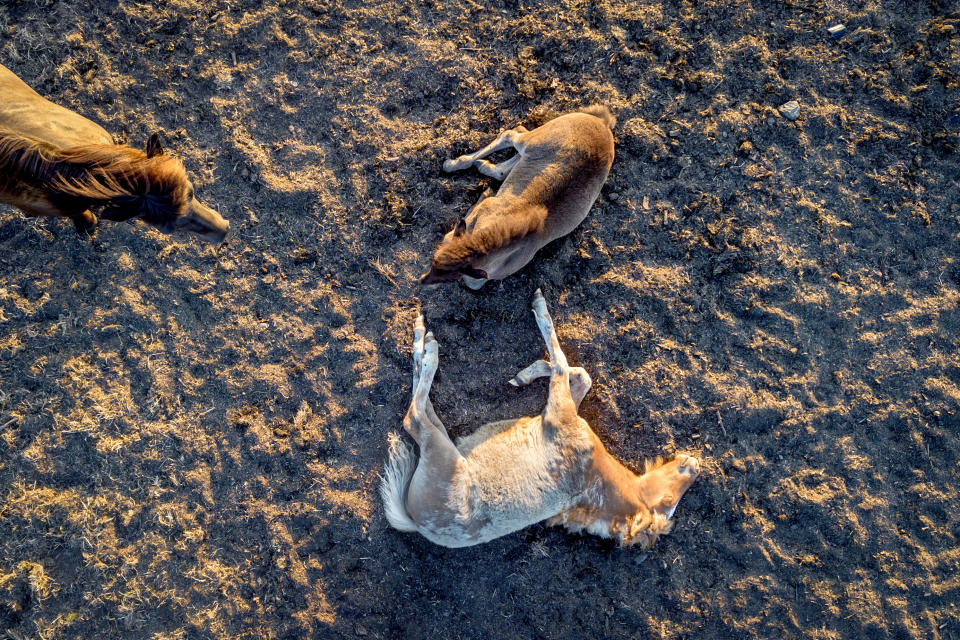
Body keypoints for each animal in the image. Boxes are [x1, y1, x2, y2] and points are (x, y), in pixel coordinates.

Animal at [378, 292, 700, 548]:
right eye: (669, 500)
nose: (694, 464)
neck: (594, 481)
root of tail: (417, 521)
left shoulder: (559, 412)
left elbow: (560, 361)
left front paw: (539, 306)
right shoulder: (559, 411)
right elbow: (578, 374)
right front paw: (527, 374)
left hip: (441, 451)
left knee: (415, 416)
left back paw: (428, 347)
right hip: (446, 441)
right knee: (424, 404)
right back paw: (422, 339)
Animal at [420, 105, 616, 290]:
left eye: (448, 278)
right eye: (433, 260)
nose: (422, 281)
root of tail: (602, 123)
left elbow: (472, 280)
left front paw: (485, 190)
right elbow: (452, 235)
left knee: (512, 146)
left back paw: (480, 166)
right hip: (534, 141)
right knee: (512, 133)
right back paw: (456, 164)